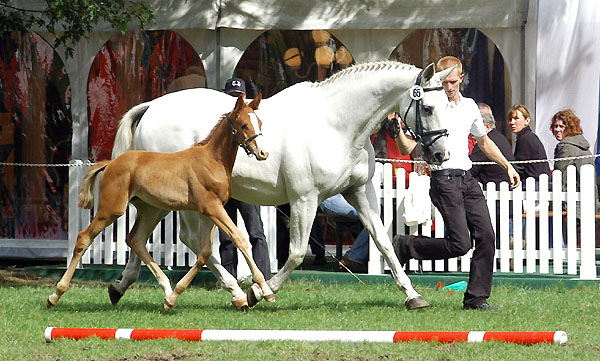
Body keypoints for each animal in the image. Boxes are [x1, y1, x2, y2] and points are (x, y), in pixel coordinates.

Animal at [47, 94, 274, 310]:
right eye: (244, 124)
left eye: (260, 122)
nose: (263, 153)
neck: (211, 161)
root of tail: (110, 163)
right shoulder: (212, 208)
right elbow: (239, 239)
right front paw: (264, 290)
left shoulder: (209, 212)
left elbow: (205, 252)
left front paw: (173, 297)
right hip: (111, 209)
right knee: (84, 238)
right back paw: (55, 295)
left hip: (150, 209)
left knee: (136, 240)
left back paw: (165, 290)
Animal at [109, 60, 454, 308]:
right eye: (427, 107)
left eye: (449, 105)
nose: (441, 153)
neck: (337, 123)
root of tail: (152, 107)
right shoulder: (305, 198)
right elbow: (298, 252)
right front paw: (260, 292)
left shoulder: (359, 192)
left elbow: (383, 241)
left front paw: (413, 296)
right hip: (184, 198)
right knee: (189, 240)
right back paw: (235, 293)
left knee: (143, 237)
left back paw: (122, 286)